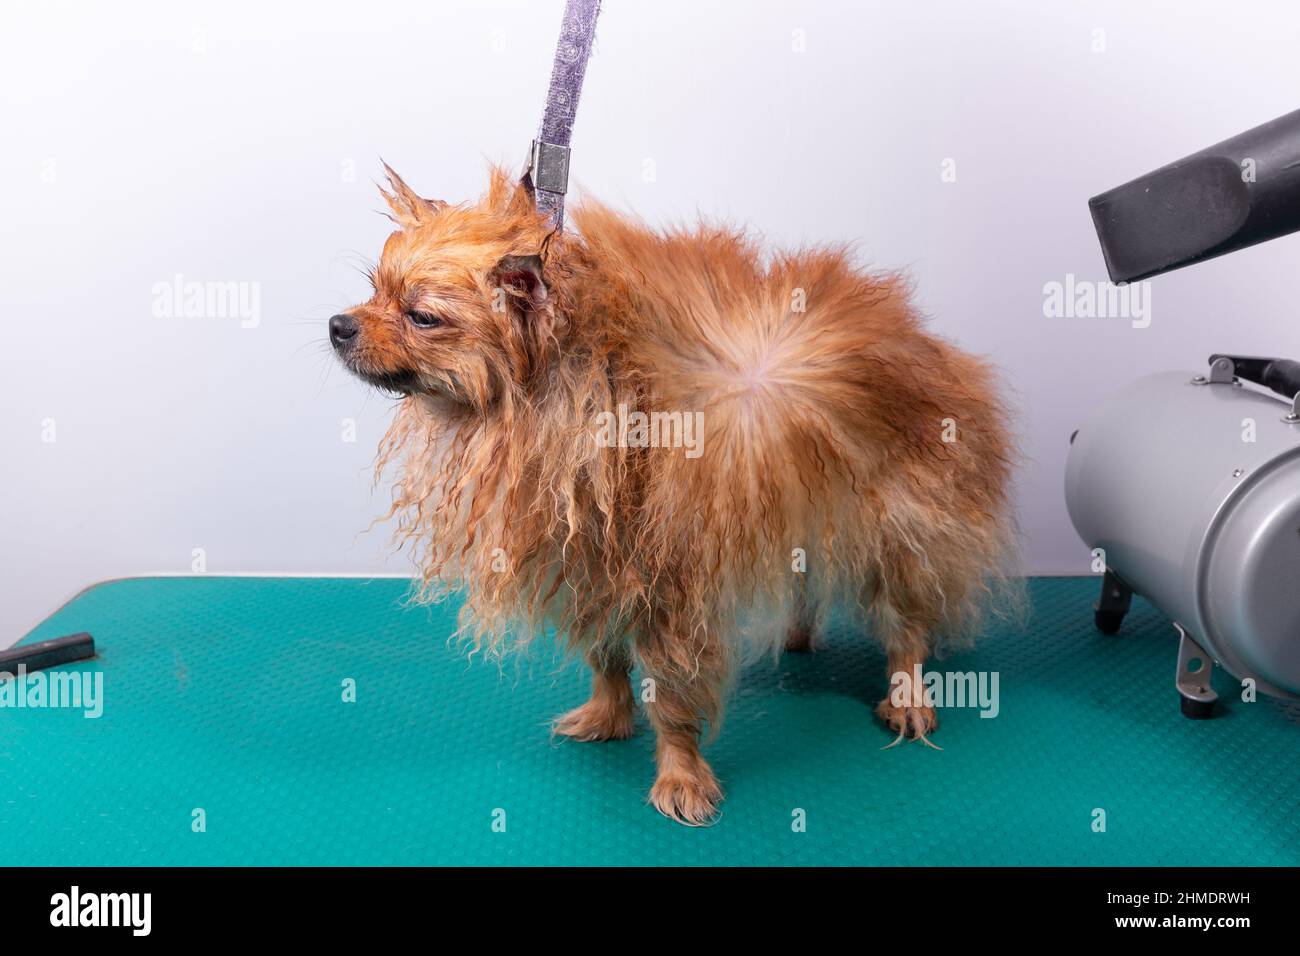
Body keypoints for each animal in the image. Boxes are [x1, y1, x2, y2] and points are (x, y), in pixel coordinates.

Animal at [330, 162, 1019, 822]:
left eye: (421, 316)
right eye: (373, 290)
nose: (339, 324)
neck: (562, 395)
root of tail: (920, 340)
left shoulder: (672, 586)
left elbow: (673, 695)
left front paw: (681, 778)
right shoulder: (594, 566)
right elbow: (605, 658)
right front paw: (607, 718)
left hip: (896, 530)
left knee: (907, 626)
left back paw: (907, 696)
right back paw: (799, 634)